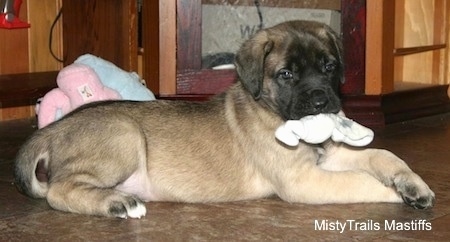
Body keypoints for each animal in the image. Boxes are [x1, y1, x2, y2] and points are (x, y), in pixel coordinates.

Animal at [15, 20, 434, 217]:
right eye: (287, 74)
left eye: (329, 67)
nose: (321, 100)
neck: (270, 109)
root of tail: (53, 128)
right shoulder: (302, 180)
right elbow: (360, 181)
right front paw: (393, 195)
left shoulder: (326, 156)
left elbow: (382, 156)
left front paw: (413, 185)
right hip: (124, 134)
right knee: (57, 191)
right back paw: (117, 203)